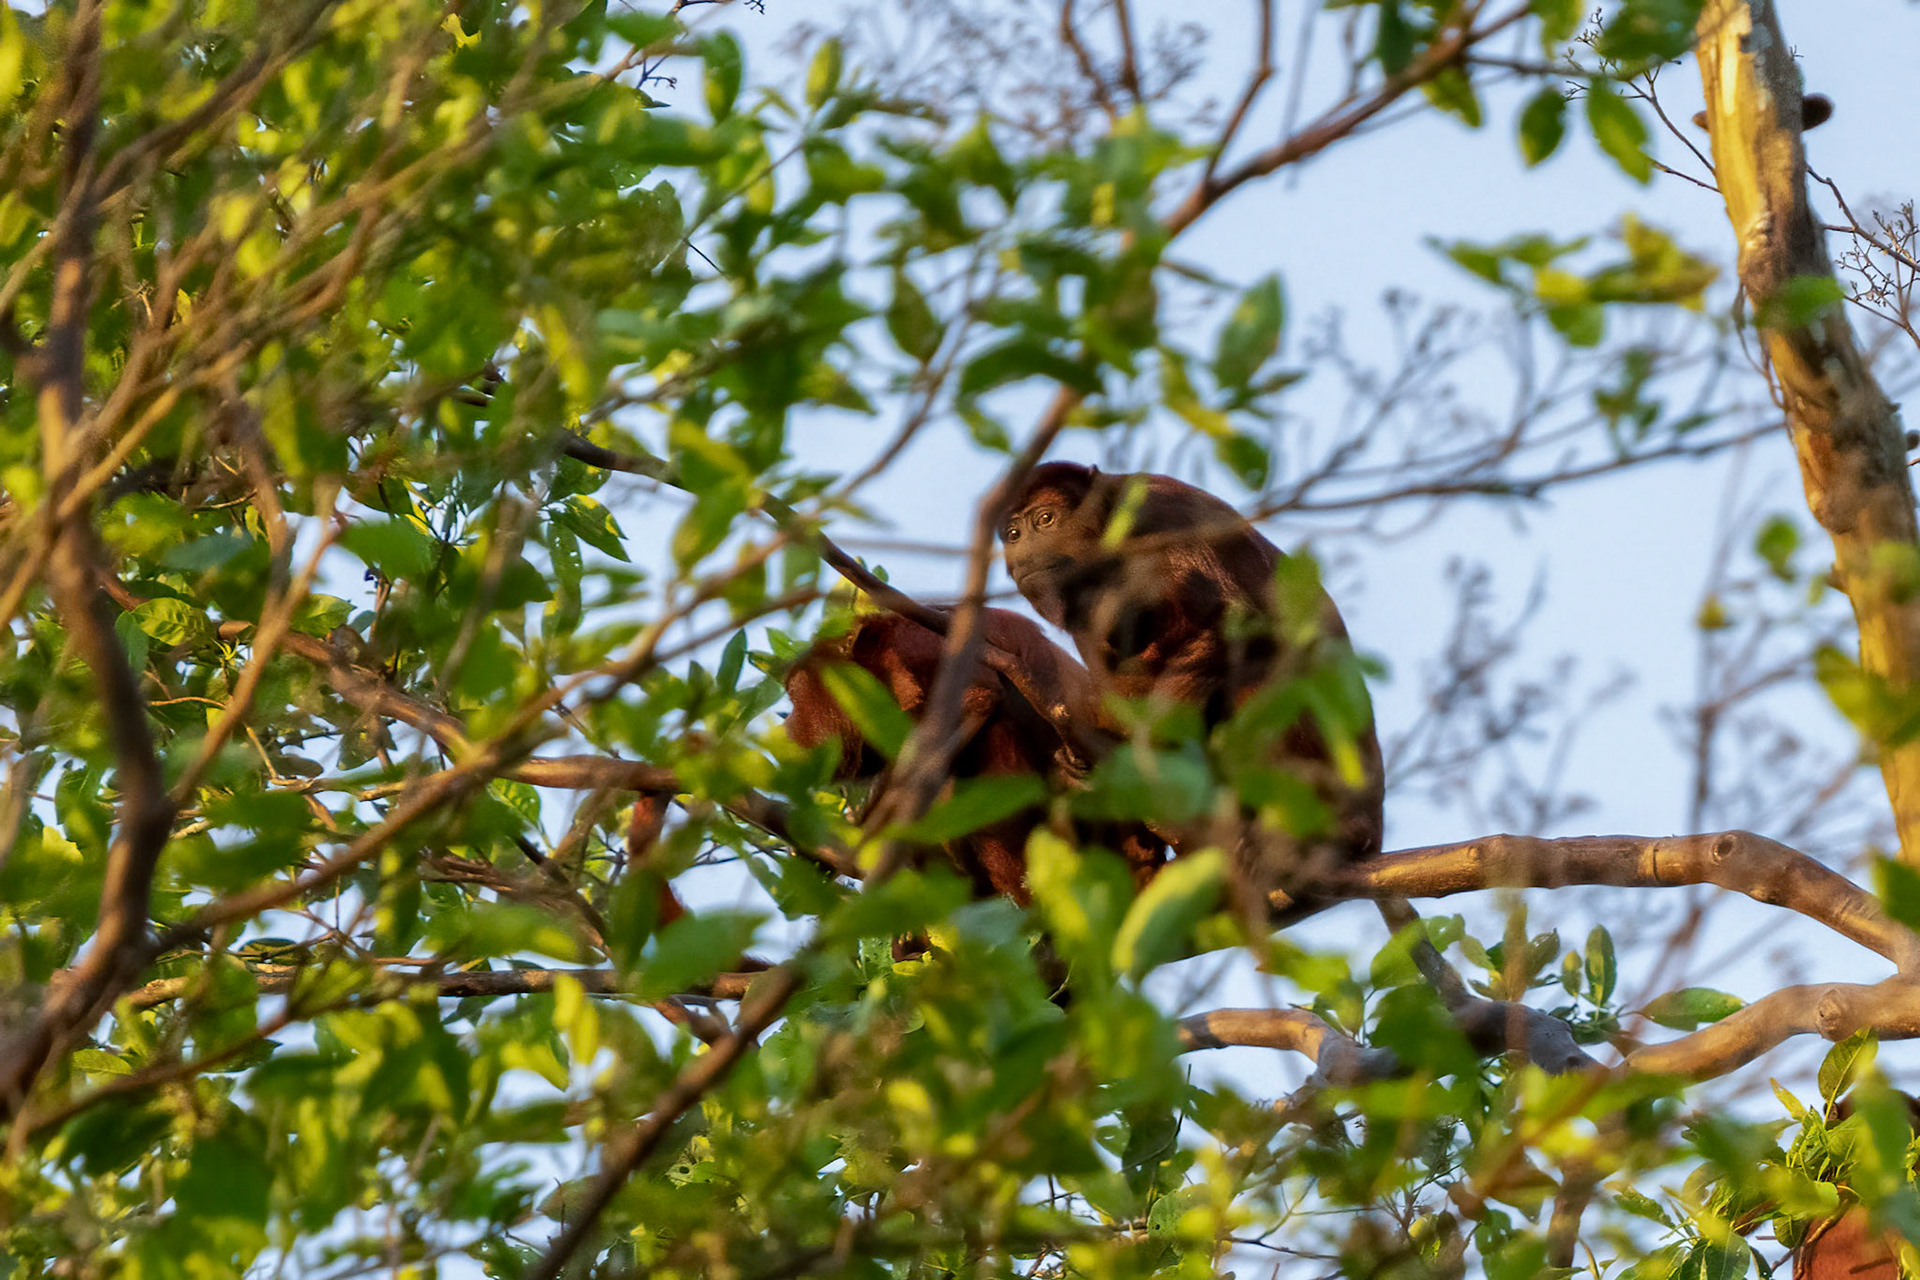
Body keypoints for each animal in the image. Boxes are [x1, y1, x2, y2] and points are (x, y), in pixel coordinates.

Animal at [999, 461, 1383, 916]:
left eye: (1046, 520)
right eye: (1013, 534)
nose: (1022, 552)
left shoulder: (1162, 513)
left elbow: (1228, 627)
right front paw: (1083, 760)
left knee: (1262, 672)